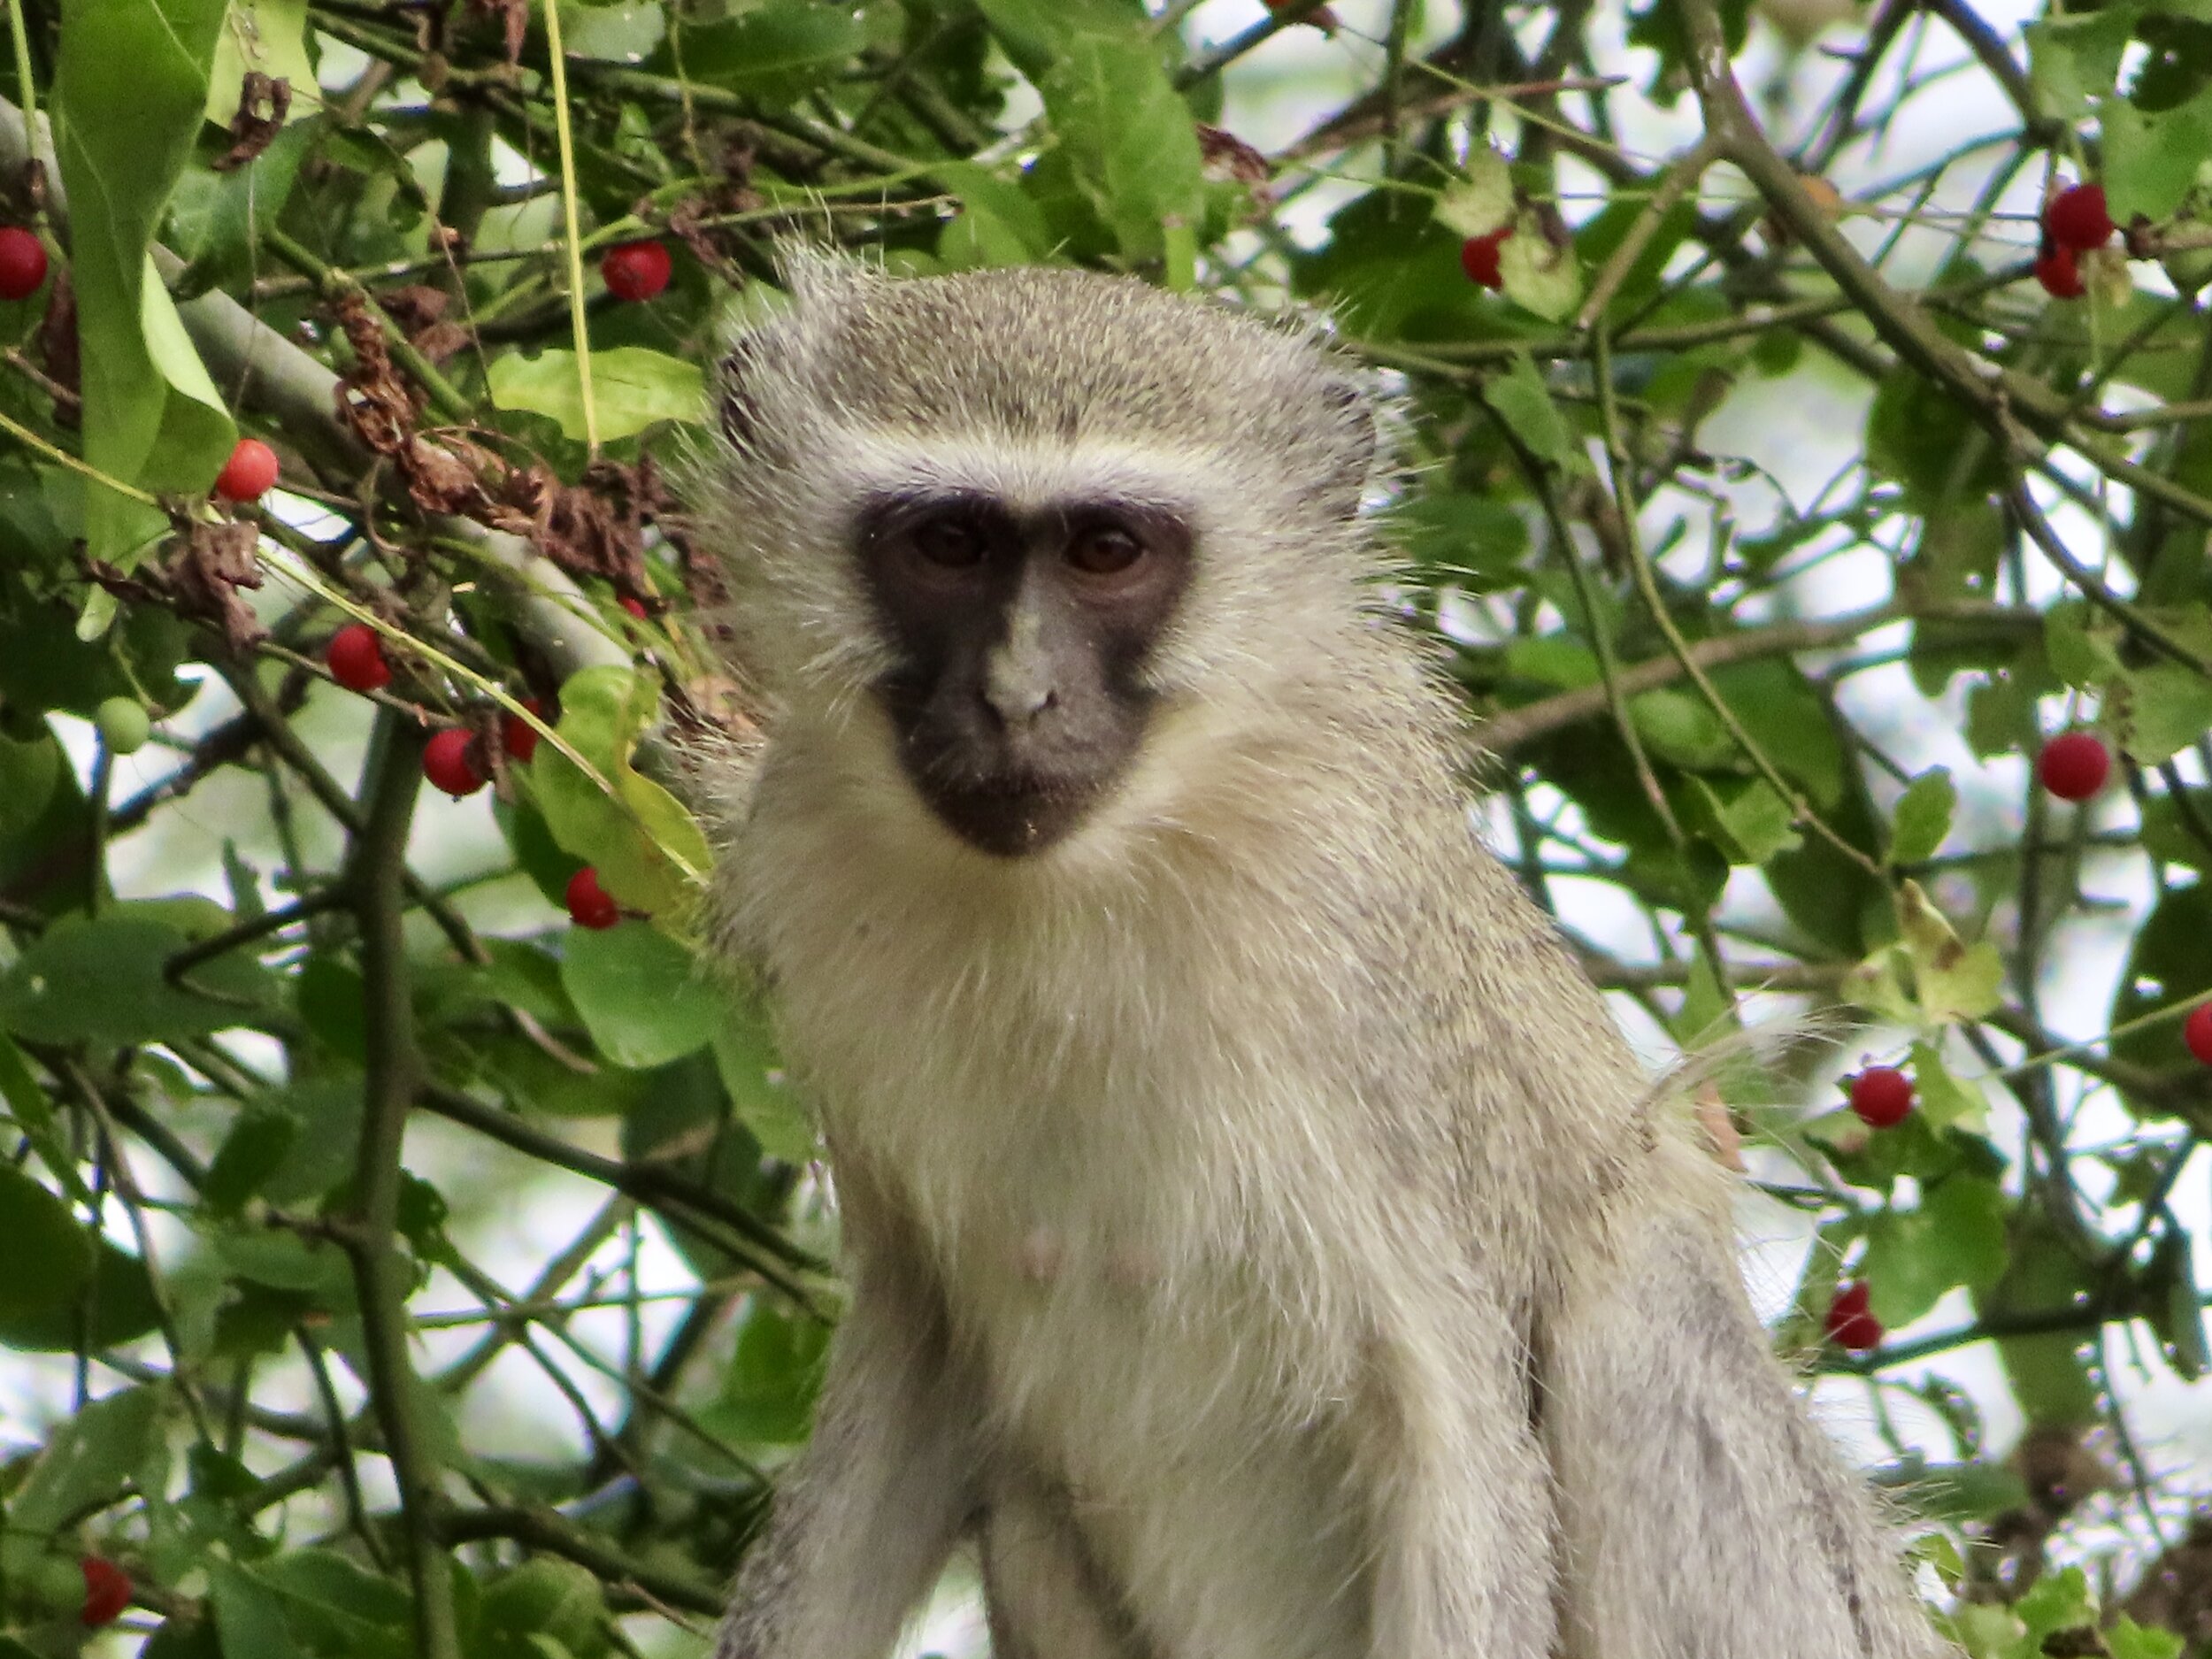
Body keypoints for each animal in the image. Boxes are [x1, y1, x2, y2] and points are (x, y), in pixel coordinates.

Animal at [695, 253, 1951, 1659]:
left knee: (1640, 1301)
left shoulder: (1372, 996)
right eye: (948, 545)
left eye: (1107, 550)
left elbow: (1461, 1434)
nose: (1017, 699)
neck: (1074, 890)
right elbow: (913, 1369)